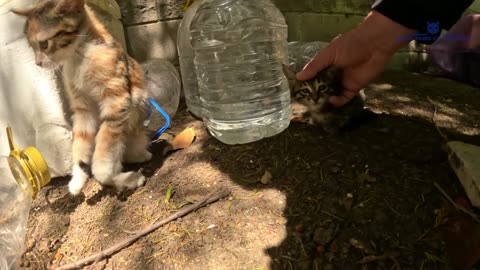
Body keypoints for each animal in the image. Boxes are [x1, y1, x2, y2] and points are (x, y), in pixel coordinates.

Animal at [12, 0, 152, 195]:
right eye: (31, 47)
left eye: (44, 44)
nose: (37, 63)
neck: (78, 57)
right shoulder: (83, 110)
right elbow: (80, 143)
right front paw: (77, 179)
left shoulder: (116, 100)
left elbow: (105, 148)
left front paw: (104, 172)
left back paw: (134, 170)